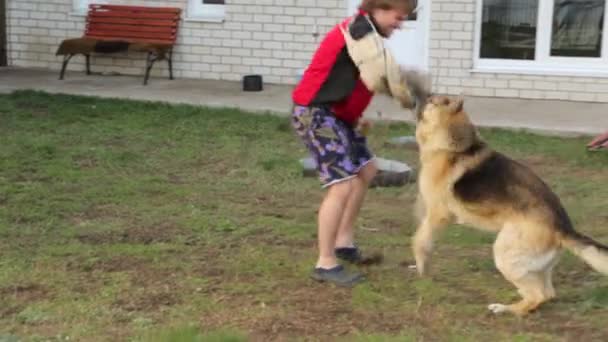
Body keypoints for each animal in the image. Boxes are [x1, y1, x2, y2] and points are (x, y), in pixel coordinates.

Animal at [414, 95, 608, 316]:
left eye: (432, 101)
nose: (420, 98)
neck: (453, 143)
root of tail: (562, 228)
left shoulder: (437, 214)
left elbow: (421, 238)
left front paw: (421, 263)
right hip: (536, 267)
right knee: (547, 294)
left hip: (505, 254)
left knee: (536, 296)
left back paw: (505, 308)